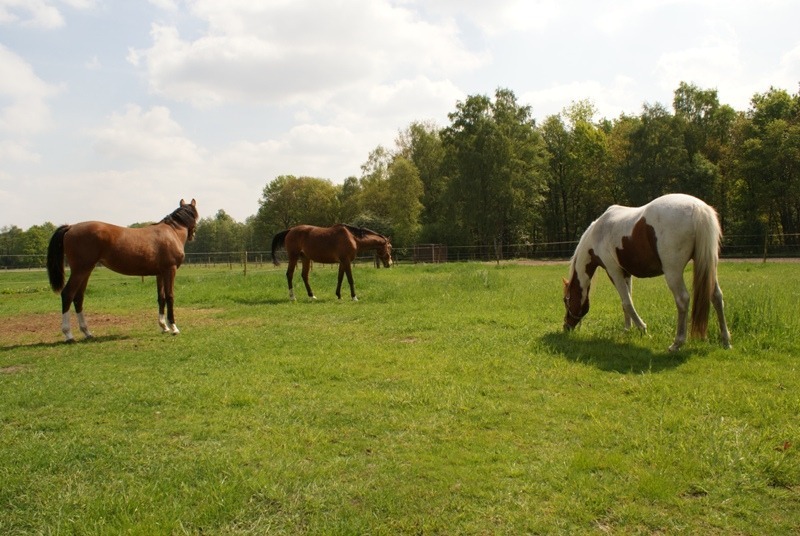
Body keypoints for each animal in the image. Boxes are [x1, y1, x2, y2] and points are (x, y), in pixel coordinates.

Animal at [47, 199, 199, 342]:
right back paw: (68, 334)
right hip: (80, 270)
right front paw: (173, 327)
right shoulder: (170, 270)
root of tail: (71, 227)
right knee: (68, 294)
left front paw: (164, 326)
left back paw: (87, 332)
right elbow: (170, 296)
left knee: (78, 297)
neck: (172, 232)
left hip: (85, 271)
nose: (193, 236)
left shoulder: (160, 274)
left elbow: (161, 297)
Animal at [564, 194, 732, 352]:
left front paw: (642, 329)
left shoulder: (614, 271)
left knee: (682, 299)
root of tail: (697, 208)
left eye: (566, 300)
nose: (566, 327)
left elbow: (627, 301)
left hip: (673, 272)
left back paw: (677, 343)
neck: (598, 233)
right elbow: (626, 302)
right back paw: (726, 341)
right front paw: (627, 329)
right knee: (716, 297)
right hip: (709, 266)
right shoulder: (626, 273)